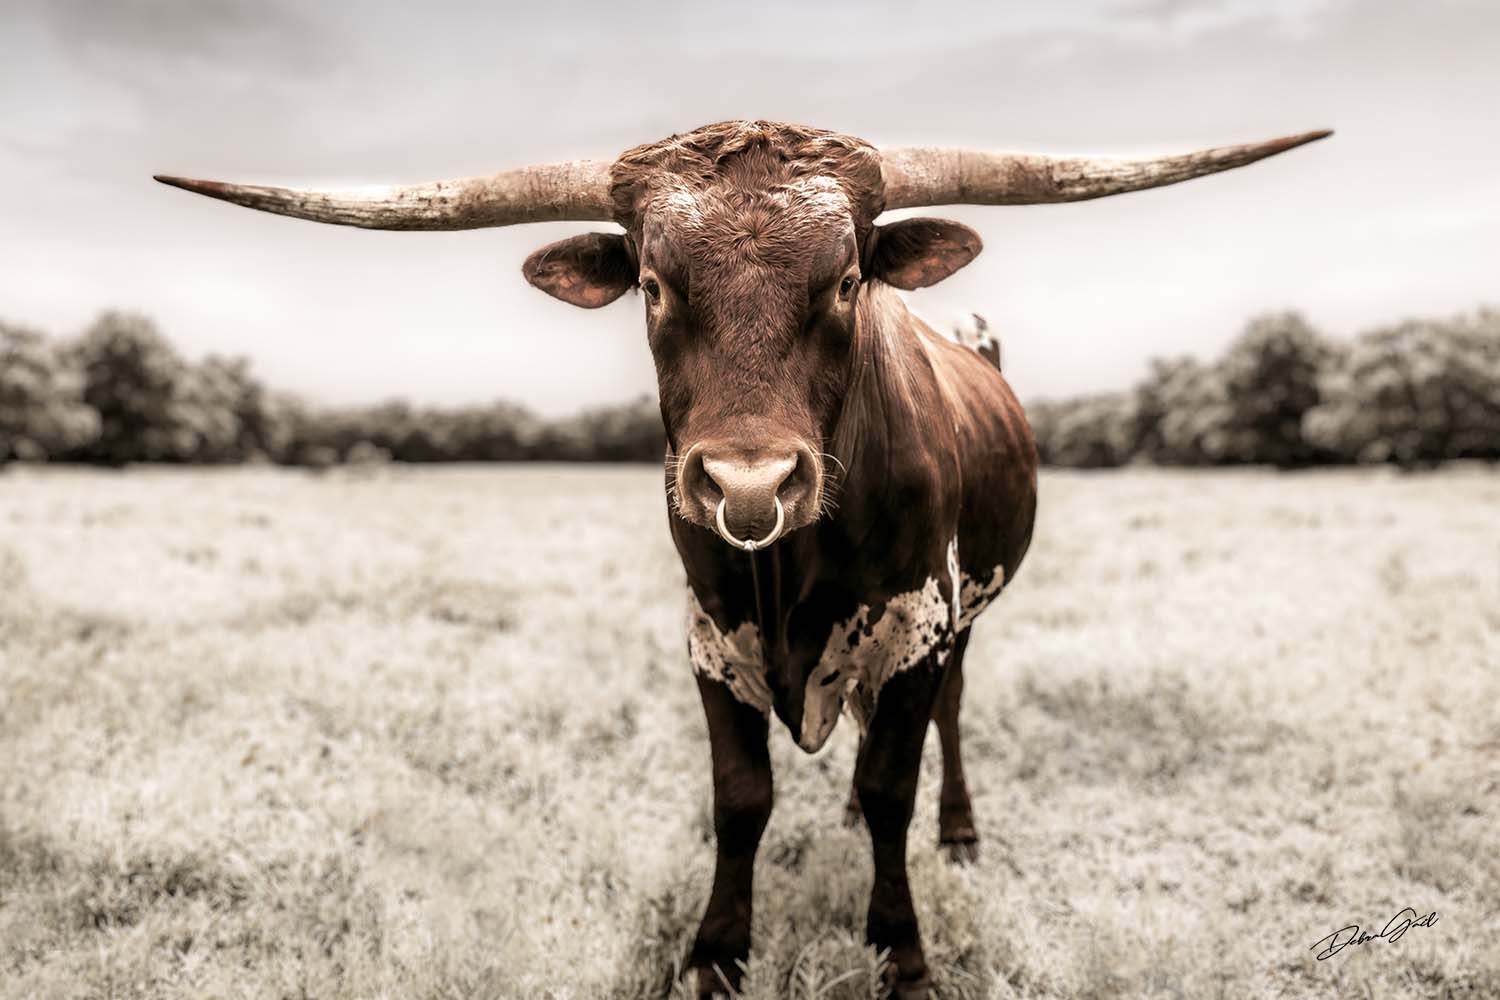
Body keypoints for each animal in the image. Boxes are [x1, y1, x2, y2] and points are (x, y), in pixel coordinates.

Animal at [157, 119, 1329, 998]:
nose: (752, 486)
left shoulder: (919, 624)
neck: (789, 575)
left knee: (943, 724)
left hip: (966, 618)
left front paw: (902, 954)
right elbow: (741, 799)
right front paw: (716, 956)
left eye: (848, 280)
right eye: (653, 285)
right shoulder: (709, 636)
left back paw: (954, 832)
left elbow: (894, 782)